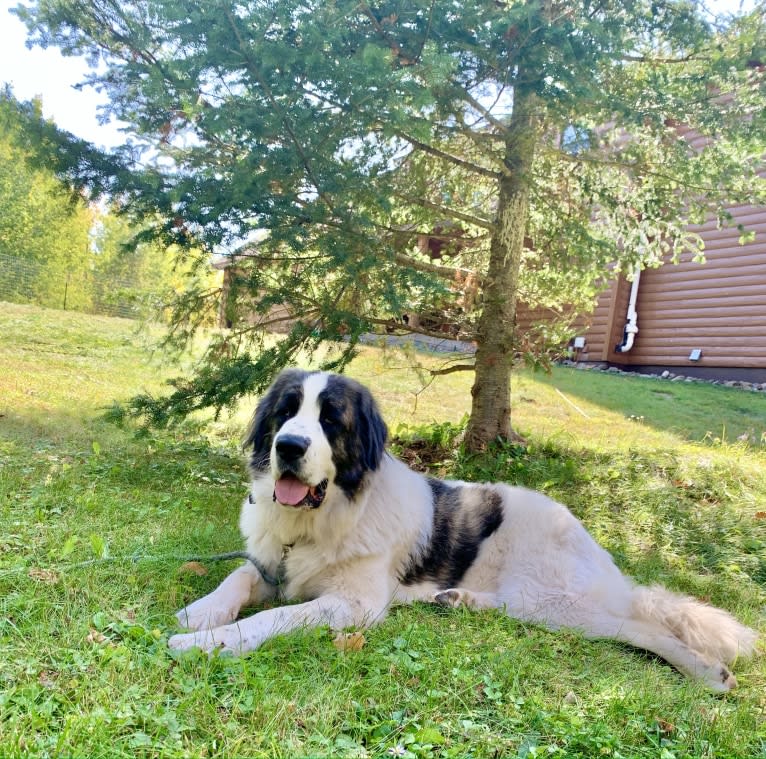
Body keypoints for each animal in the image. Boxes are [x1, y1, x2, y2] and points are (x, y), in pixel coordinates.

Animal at [165, 372, 760, 692]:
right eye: (285, 413)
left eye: (330, 419)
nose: (288, 446)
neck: (321, 518)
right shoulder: (272, 563)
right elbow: (241, 577)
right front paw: (202, 612)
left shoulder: (354, 604)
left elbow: (276, 617)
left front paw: (207, 643)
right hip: (531, 602)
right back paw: (459, 600)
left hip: (556, 600)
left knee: (639, 628)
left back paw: (707, 671)